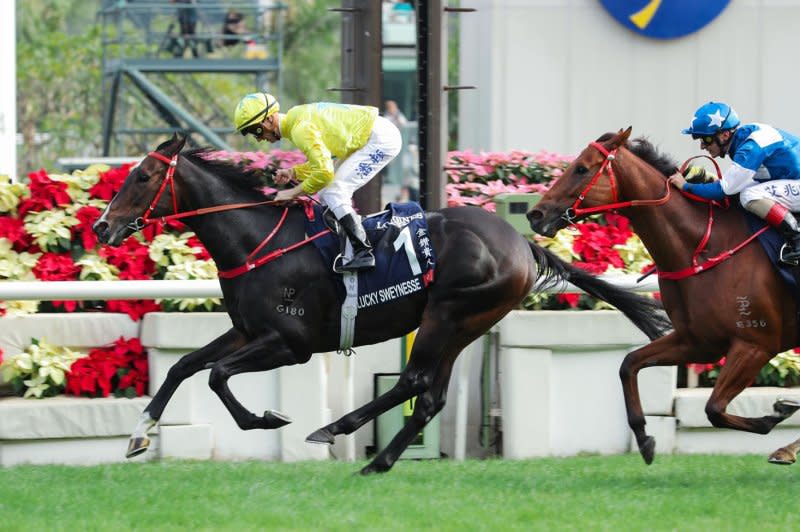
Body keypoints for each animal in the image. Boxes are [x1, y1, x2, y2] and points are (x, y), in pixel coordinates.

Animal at [92, 134, 668, 474]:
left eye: (143, 177)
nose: (101, 226)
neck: (257, 241)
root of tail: (521, 242)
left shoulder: (290, 343)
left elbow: (216, 376)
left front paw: (267, 419)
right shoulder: (247, 330)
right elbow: (185, 366)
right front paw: (139, 436)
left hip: (449, 315)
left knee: (414, 382)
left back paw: (337, 431)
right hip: (464, 325)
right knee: (429, 396)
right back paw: (378, 460)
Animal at [528, 128, 800, 466]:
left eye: (581, 168)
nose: (535, 214)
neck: (703, 247)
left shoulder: (754, 346)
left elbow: (714, 409)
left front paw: (775, 417)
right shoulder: (699, 342)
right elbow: (628, 364)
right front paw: (644, 438)